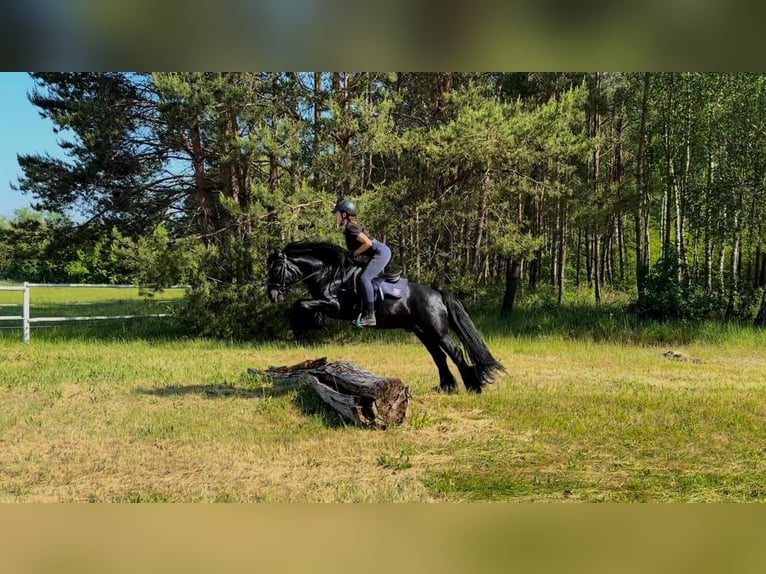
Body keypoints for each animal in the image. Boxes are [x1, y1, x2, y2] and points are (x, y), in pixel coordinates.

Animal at [266, 240, 504, 393]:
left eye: (276, 269)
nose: (272, 294)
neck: (329, 273)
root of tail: (436, 294)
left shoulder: (334, 306)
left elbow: (301, 303)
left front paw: (300, 327)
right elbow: (305, 304)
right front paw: (313, 322)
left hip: (437, 331)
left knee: (454, 352)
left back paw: (473, 386)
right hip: (422, 332)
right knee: (439, 356)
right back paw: (447, 387)